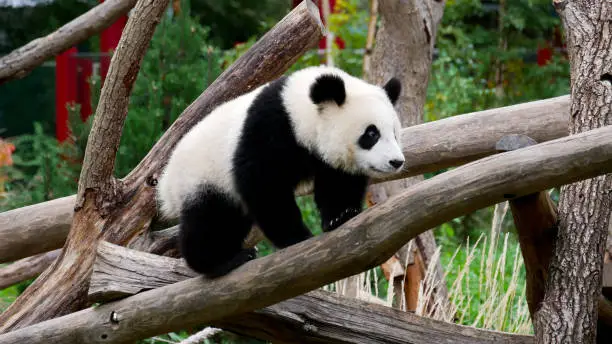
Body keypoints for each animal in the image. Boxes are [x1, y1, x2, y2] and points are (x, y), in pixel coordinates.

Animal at [158, 65, 406, 276]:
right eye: (371, 134)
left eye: (395, 133)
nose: (396, 162)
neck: (297, 110)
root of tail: (166, 181)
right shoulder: (268, 129)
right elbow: (265, 187)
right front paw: (298, 238)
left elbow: (338, 181)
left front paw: (341, 215)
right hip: (203, 177)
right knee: (211, 219)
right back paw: (223, 261)